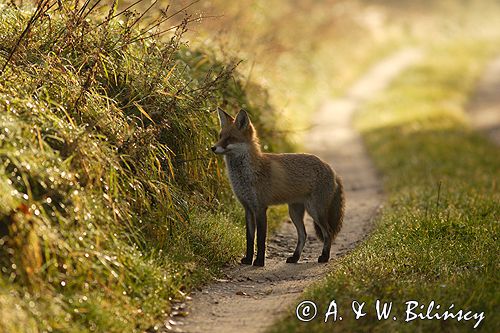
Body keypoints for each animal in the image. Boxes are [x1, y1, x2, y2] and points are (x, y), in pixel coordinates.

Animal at [210, 109, 344, 268]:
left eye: (230, 138)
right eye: (220, 136)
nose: (212, 148)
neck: (246, 176)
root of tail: (331, 168)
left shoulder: (260, 208)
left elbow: (261, 239)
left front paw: (259, 262)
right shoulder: (248, 209)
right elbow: (250, 239)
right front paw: (248, 260)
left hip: (315, 211)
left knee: (328, 233)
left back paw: (324, 257)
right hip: (295, 212)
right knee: (303, 235)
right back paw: (295, 257)